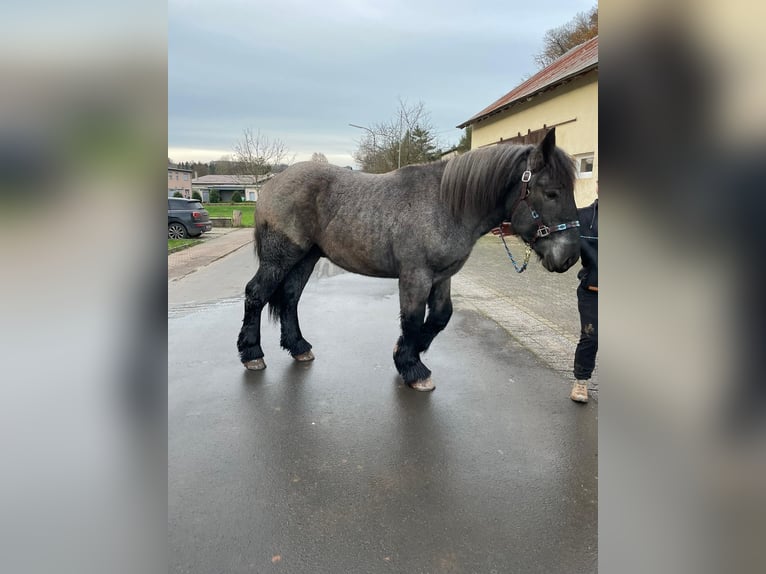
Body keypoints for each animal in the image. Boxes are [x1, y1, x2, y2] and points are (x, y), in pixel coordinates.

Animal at [237, 127, 580, 392]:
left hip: (305, 258)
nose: (569, 257)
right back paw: (252, 354)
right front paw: (413, 369)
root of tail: (272, 184)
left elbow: (440, 316)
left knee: (290, 297)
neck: (446, 204)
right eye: (551, 192)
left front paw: (408, 351)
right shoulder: (416, 275)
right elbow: (413, 318)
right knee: (256, 294)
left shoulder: (442, 277)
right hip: (281, 257)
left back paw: (299, 347)